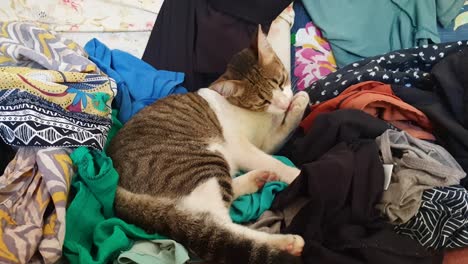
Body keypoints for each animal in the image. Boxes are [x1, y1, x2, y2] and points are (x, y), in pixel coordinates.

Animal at [107, 26, 308, 264]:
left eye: (280, 81)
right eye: (263, 100)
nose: (284, 103)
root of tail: (117, 183)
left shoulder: (267, 142)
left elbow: (283, 132)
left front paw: (299, 103)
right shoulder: (241, 146)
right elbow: (274, 162)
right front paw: (298, 174)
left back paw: (257, 179)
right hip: (204, 160)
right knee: (218, 227)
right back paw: (285, 242)